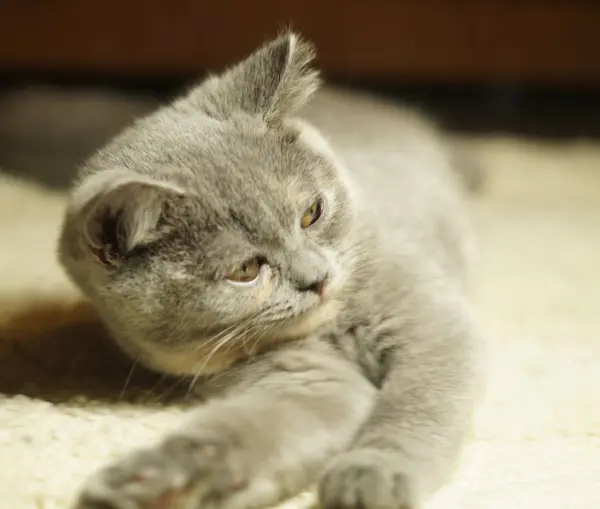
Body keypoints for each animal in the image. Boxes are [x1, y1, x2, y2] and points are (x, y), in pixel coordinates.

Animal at [57, 30, 482, 508]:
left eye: (312, 213)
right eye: (245, 269)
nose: (318, 278)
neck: (330, 327)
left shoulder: (431, 325)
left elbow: (416, 405)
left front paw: (372, 473)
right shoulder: (302, 379)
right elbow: (247, 429)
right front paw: (158, 479)